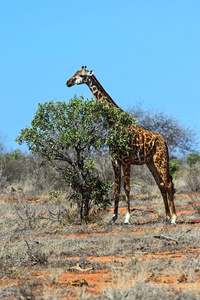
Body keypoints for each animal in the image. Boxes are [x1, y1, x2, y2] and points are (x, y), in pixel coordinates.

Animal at [67, 67, 177, 224]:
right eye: (74, 73)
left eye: (81, 75)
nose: (68, 82)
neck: (113, 122)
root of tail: (165, 141)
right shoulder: (114, 159)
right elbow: (117, 188)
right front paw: (113, 217)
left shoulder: (126, 159)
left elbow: (127, 187)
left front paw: (127, 217)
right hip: (150, 162)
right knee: (161, 184)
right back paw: (167, 216)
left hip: (161, 159)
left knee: (168, 183)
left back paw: (174, 218)